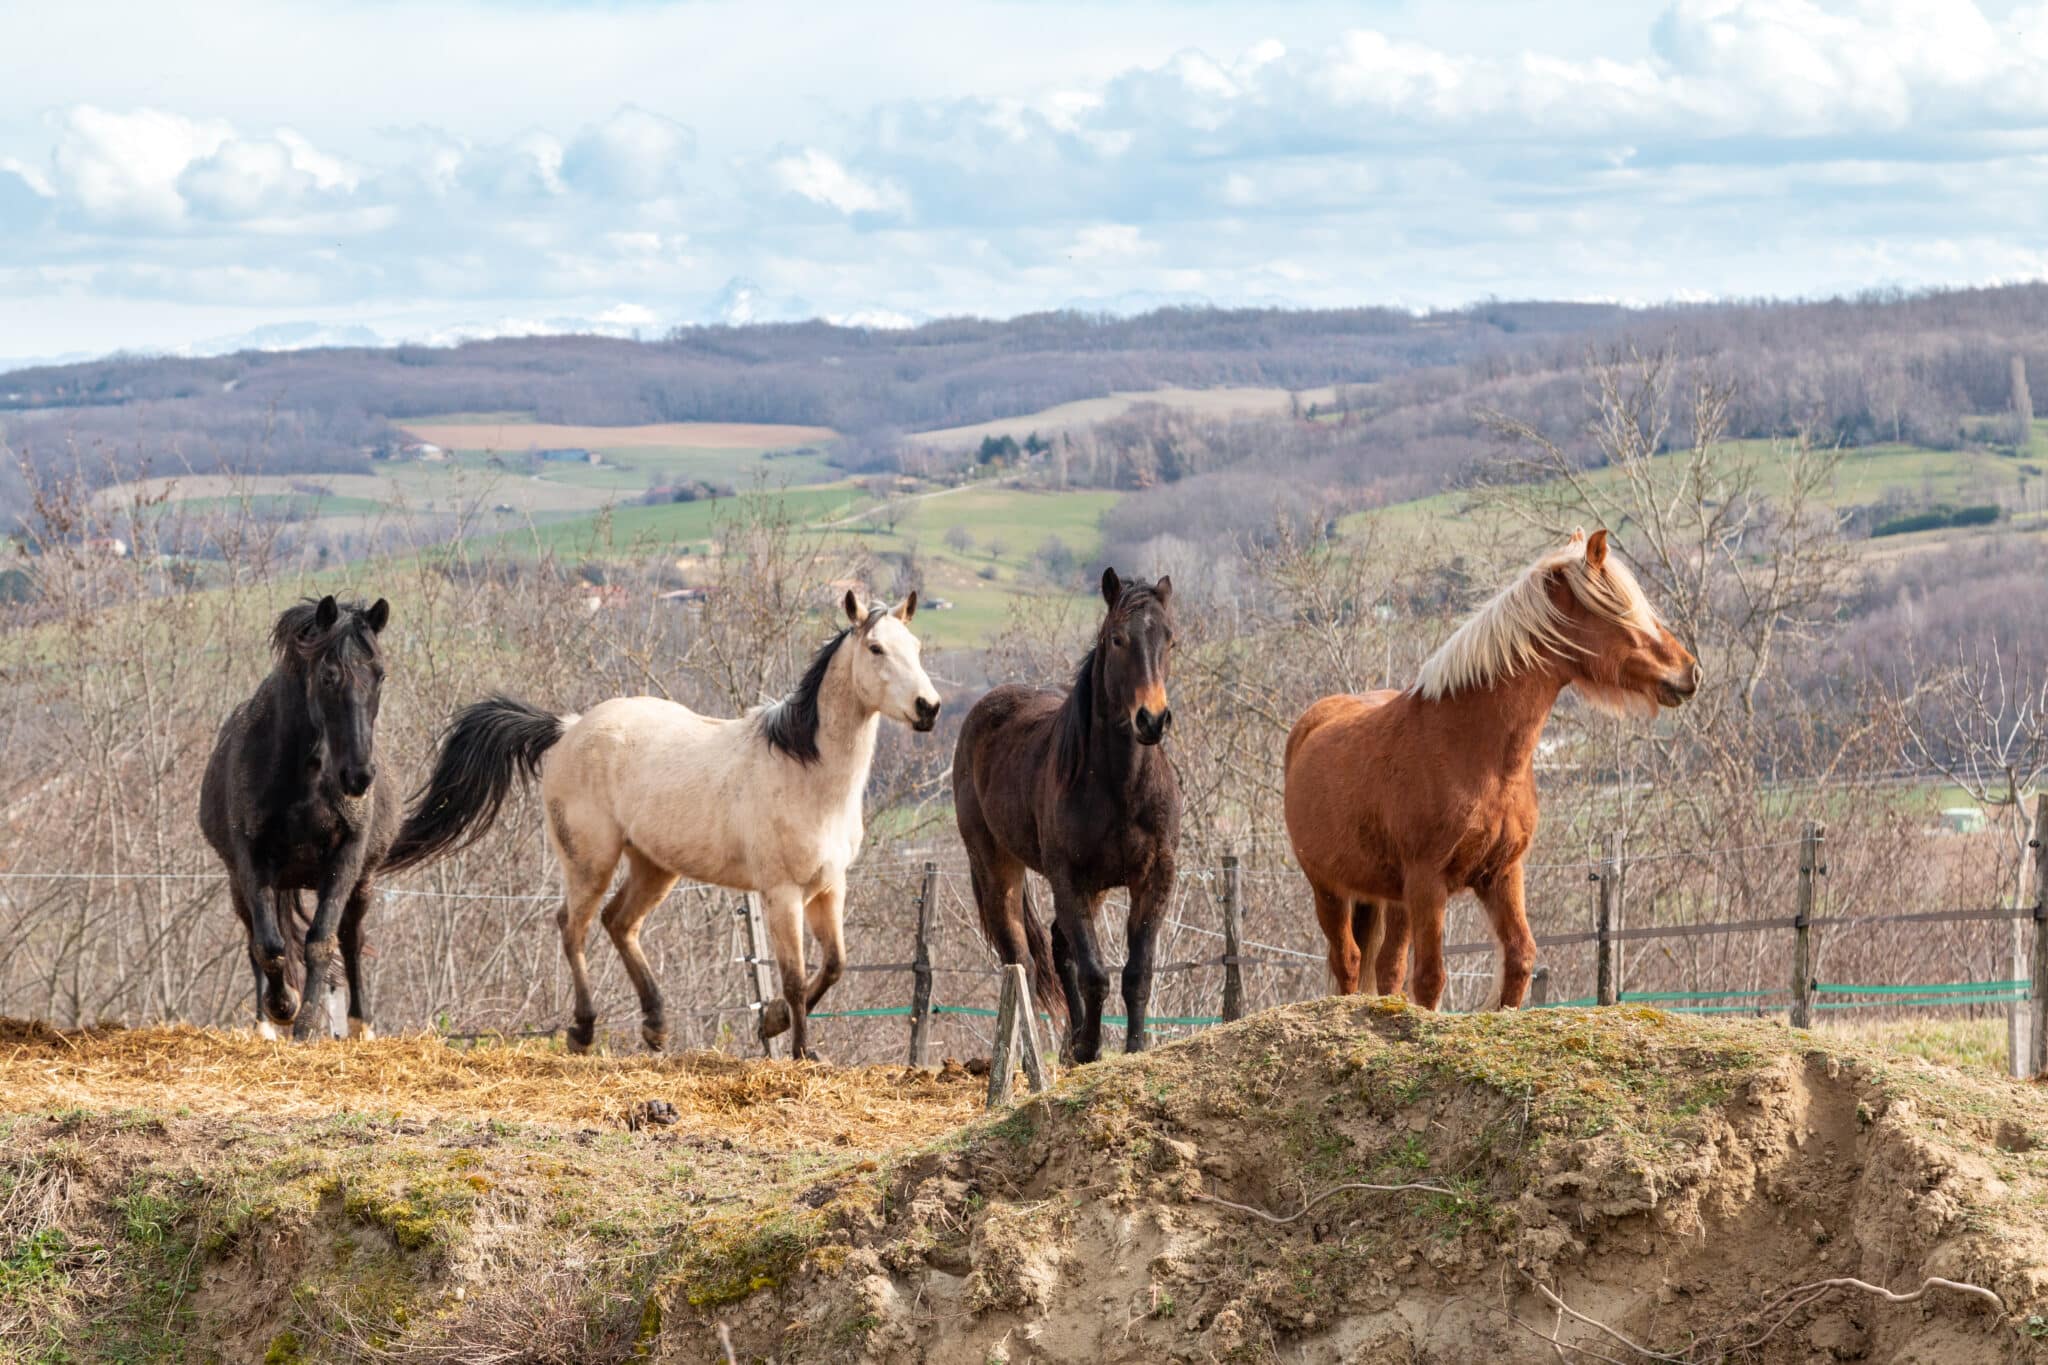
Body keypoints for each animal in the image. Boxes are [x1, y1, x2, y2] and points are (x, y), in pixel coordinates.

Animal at [199, 595, 399, 1041]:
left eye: (379, 675)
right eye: (328, 675)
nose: (359, 775)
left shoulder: (346, 859)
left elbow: (321, 941)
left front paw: (306, 1024)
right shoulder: (251, 861)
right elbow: (270, 947)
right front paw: (283, 1006)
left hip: (363, 883)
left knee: (351, 940)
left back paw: (361, 1025)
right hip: (245, 883)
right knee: (257, 939)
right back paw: (265, 1024)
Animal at [383, 591, 940, 1060]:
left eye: (915, 646)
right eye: (875, 648)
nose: (928, 709)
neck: (804, 771)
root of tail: (567, 729)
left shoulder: (828, 889)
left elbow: (834, 965)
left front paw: (773, 1023)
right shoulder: (781, 893)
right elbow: (795, 978)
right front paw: (803, 1051)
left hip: (654, 866)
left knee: (619, 922)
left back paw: (656, 1025)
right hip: (590, 861)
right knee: (573, 926)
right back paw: (583, 1030)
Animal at [954, 568, 1180, 1064]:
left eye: (1169, 639)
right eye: (1117, 639)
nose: (1151, 719)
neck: (1118, 786)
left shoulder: (1153, 877)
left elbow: (1137, 971)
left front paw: (1130, 1047)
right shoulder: (1069, 878)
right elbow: (1094, 972)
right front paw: (1091, 1048)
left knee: (1059, 947)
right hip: (997, 867)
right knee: (1019, 959)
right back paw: (1031, 1052)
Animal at [1283, 530, 1698, 1012]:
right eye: (1623, 613)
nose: (1690, 672)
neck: (1474, 752)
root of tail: (1311, 724)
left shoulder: (1502, 875)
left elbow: (1519, 960)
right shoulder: (1428, 884)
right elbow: (1431, 978)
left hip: (1390, 899)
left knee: (1386, 966)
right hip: (1329, 890)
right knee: (1348, 961)